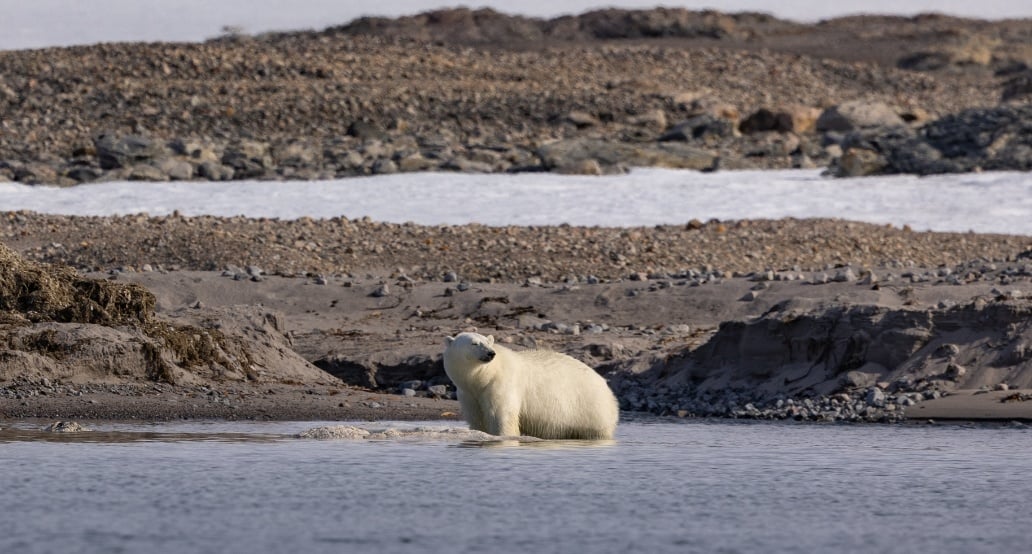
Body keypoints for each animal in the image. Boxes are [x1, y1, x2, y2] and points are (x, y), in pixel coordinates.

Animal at [443, 330, 619, 439]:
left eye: (488, 342)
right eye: (474, 343)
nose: (490, 353)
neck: (483, 377)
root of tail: (605, 385)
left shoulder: (501, 385)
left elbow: (501, 416)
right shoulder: (468, 393)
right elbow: (477, 419)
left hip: (589, 408)